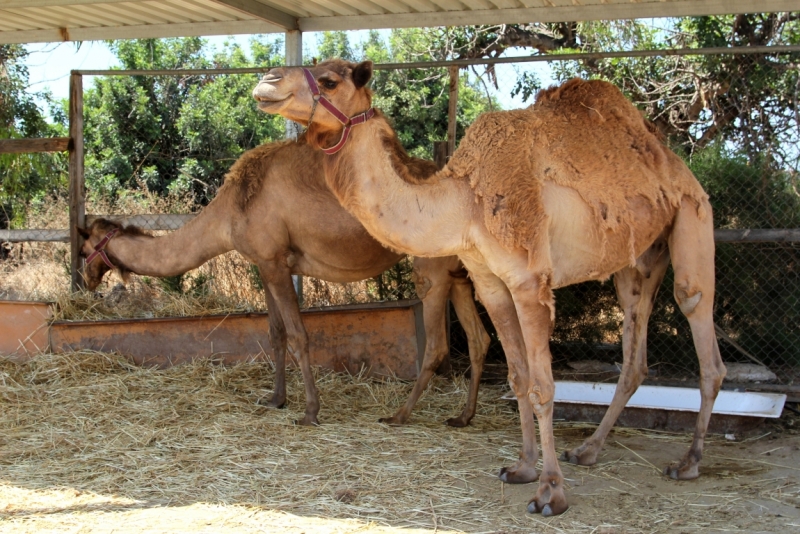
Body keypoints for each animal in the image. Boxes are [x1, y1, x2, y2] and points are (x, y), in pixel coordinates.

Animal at [76, 136, 494, 430]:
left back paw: (399, 415)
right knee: (479, 338)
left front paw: (310, 412)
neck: (229, 212)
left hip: (431, 268)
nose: (85, 280)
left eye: (82, 249)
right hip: (460, 271)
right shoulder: (265, 263)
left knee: (438, 345)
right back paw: (463, 417)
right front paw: (275, 399)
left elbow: (298, 335)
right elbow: (275, 333)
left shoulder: (274, 262)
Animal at [255, 57, 724, 516]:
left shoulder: (530, 281)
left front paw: (550, 493)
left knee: (698, 320)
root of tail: (672, 161)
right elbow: (518, 377)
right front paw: (523, 469)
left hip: (693, 217)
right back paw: (588, 450)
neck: (463, 203)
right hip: (637, 260)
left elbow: (542, 386)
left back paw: (688, 463)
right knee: (634, 348)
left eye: (330, 81)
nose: (266, 81)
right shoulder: (490, 281)